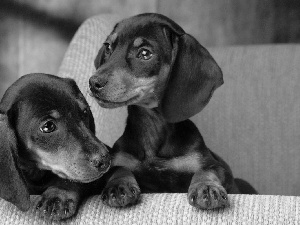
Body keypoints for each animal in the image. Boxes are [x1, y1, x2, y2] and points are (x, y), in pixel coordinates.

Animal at [89, 13, 258, 210]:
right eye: (108, 47)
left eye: (145, 53)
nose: (93, 83)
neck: (152, 127)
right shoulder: (119, 161)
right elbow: (118, 169)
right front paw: (119, 185)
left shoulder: (216, 166)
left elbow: (206, 171)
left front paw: (207, 188)